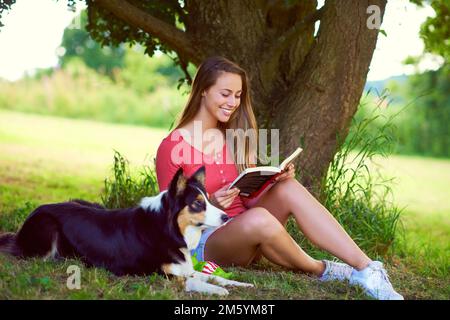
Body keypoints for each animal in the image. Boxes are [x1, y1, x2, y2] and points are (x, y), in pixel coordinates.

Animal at [0, 168, 253, 296]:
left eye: (208, 200)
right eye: (198, 204)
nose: (227, 217)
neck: (168, 228)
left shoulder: (184, 268)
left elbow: (211, 275)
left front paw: (240, 284)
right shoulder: (160, 274)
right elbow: (195, 283)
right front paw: (219, 291)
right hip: (47, 227)